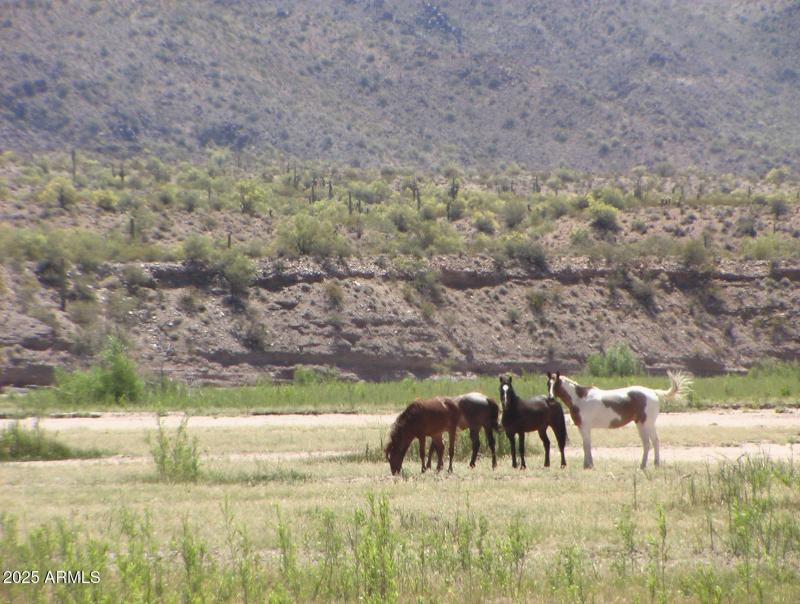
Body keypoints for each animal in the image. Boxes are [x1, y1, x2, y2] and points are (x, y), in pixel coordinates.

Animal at [546, 371, 691, 469]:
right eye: (548, 384)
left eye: (556, 384)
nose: (550, 398)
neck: (580, 398)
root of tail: (652, 392)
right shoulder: (581, 427)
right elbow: (585, 445)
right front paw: (587, 464)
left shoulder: (585, 427)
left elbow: (586, 445)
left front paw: (589, 465)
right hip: (641, 424)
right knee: (649, 443)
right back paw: (647, 465)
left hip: (647, 424)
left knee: (652, 442)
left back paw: (651, 464)